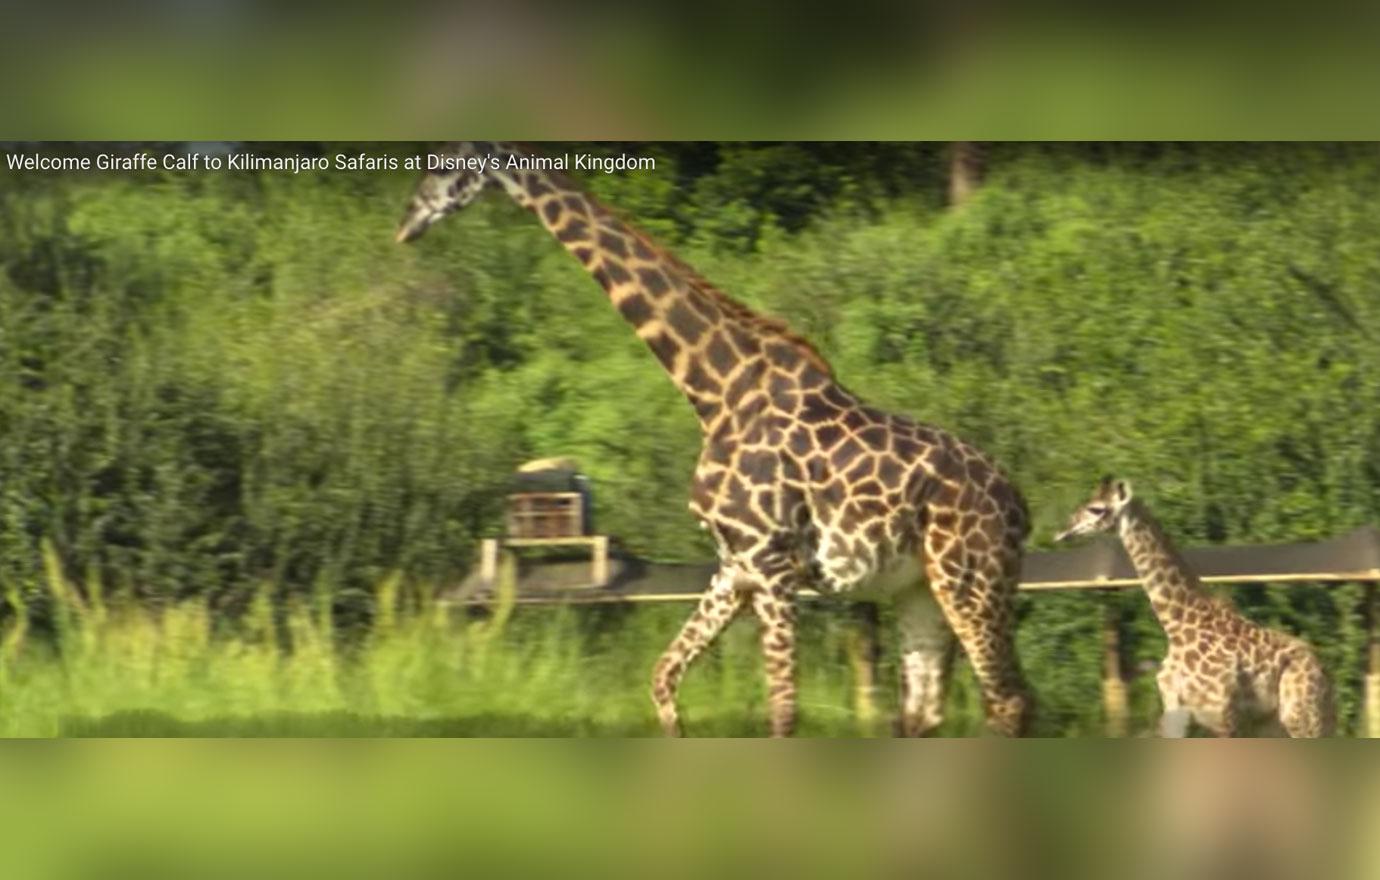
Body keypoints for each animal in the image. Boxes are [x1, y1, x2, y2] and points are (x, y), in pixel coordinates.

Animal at [394, 144, 1032, 739]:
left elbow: (783, 712)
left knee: (1010, 700)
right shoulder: (735, 566)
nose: (406, 223)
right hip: (917, 588)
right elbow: (663, 677)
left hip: (969, 579)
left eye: (443, 166)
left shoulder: (773, 565)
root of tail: (1019, 505)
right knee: (926, 712)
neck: (715, 393)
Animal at [1048, 480, 1330, 739]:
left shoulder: (1223, 717)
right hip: (1273, 723)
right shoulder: (1176, 710)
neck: (1177, 626)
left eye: (1096, 509)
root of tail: (1325, 673)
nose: (1062, 530)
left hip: (1302, 718)